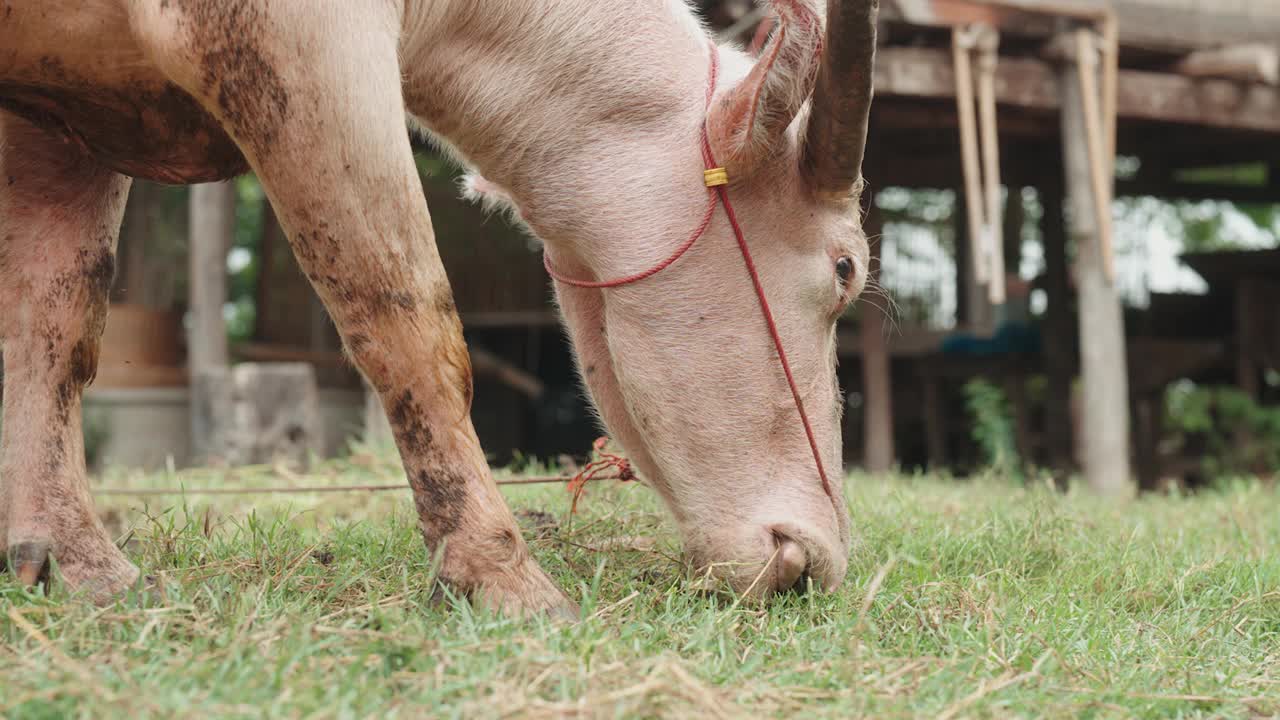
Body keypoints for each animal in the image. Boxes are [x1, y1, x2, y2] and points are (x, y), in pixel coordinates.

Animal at [0, 0, 875, 614]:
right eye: (845, 269)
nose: (815, 555)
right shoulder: (303, 51)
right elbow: (409, 322)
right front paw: (496, 568)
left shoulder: (54, 125)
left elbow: (55, 328)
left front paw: (77, 561)